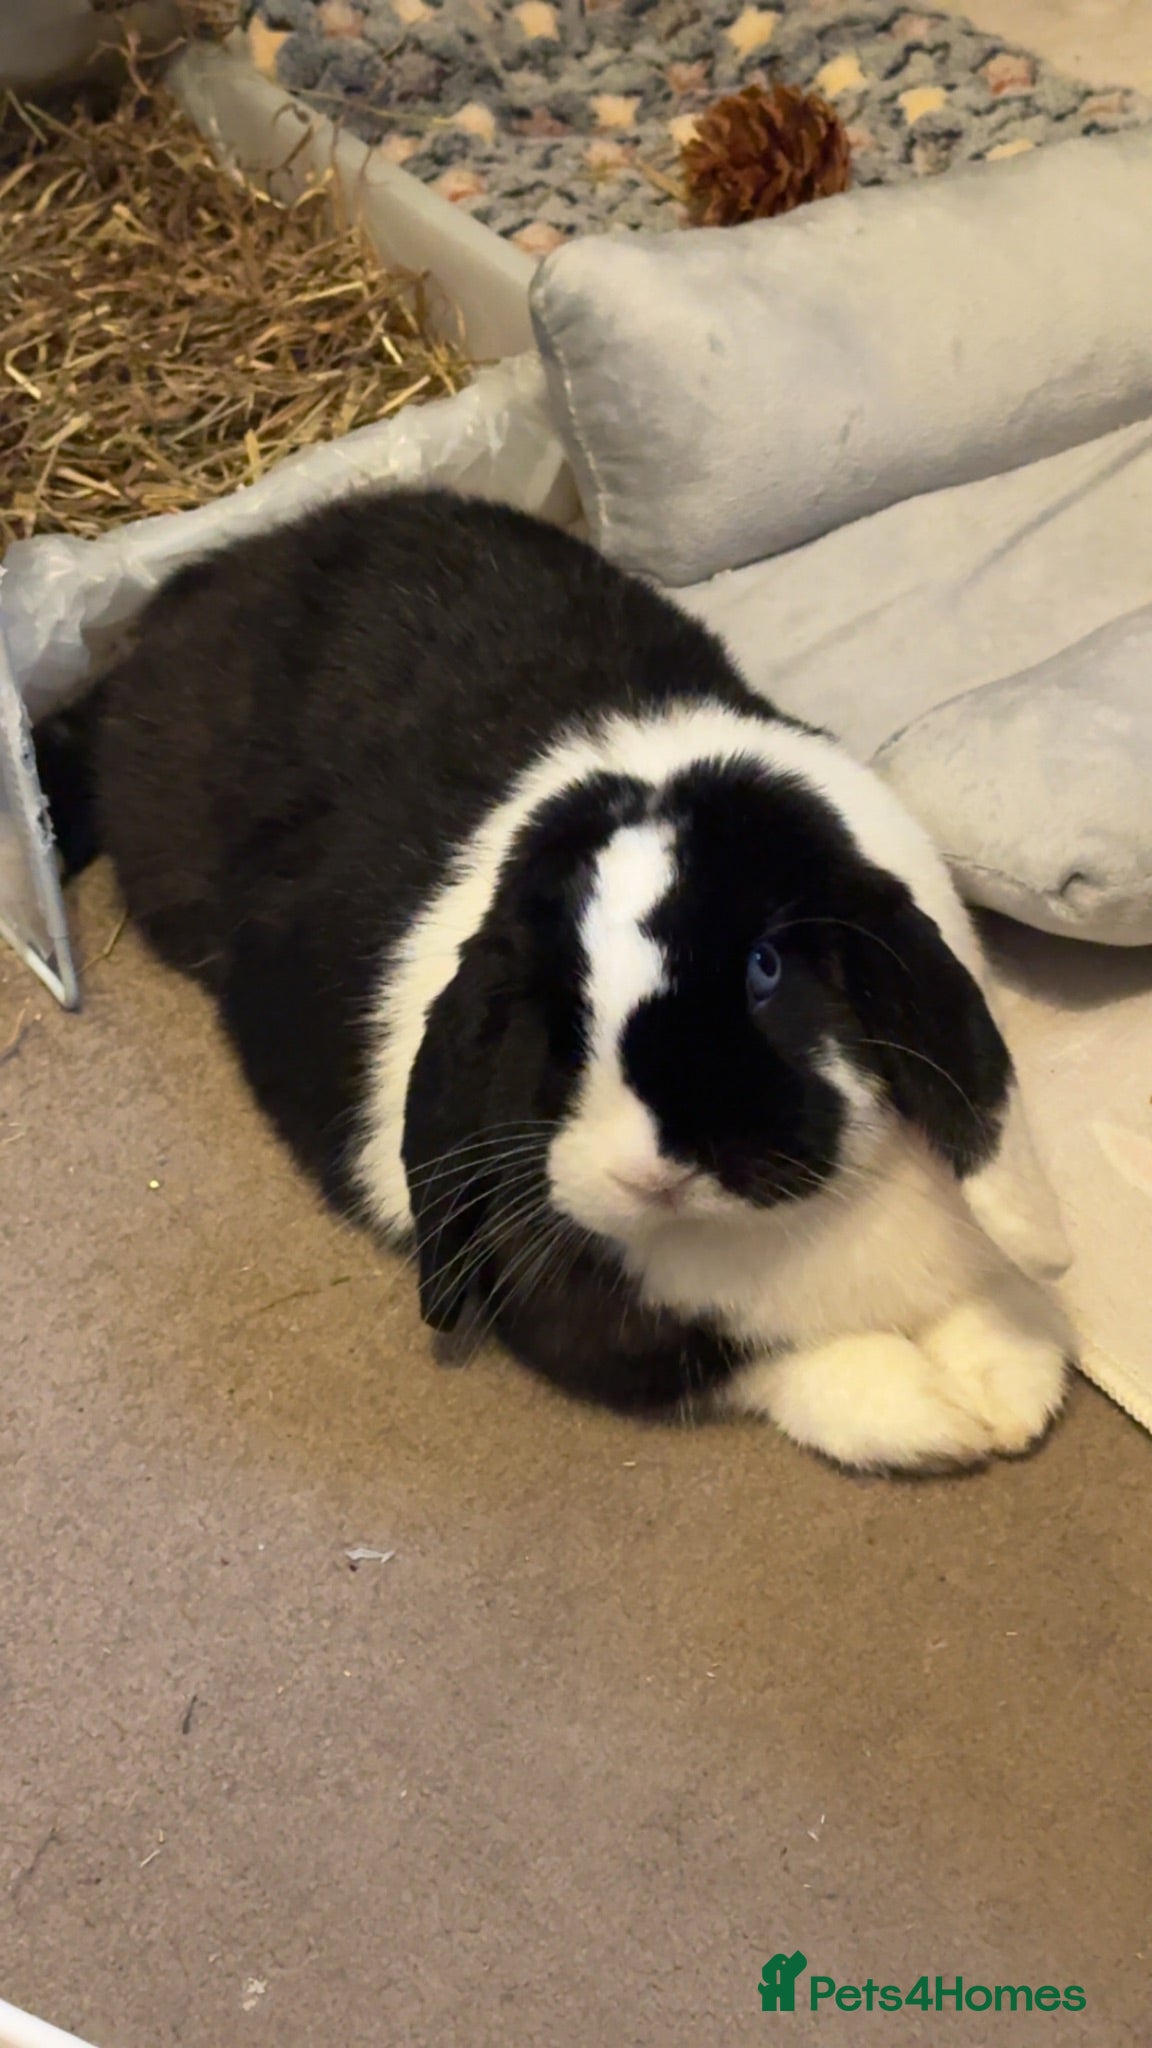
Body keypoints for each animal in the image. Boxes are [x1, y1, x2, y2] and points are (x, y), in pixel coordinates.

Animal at [34, 486, 1075, 1471]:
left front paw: (1010, 1375)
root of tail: (214, 576)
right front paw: (941, 1415)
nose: (652, 1174)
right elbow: (758, 1361)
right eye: (550, 1009)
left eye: (766, 967)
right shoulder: (600, 1326)